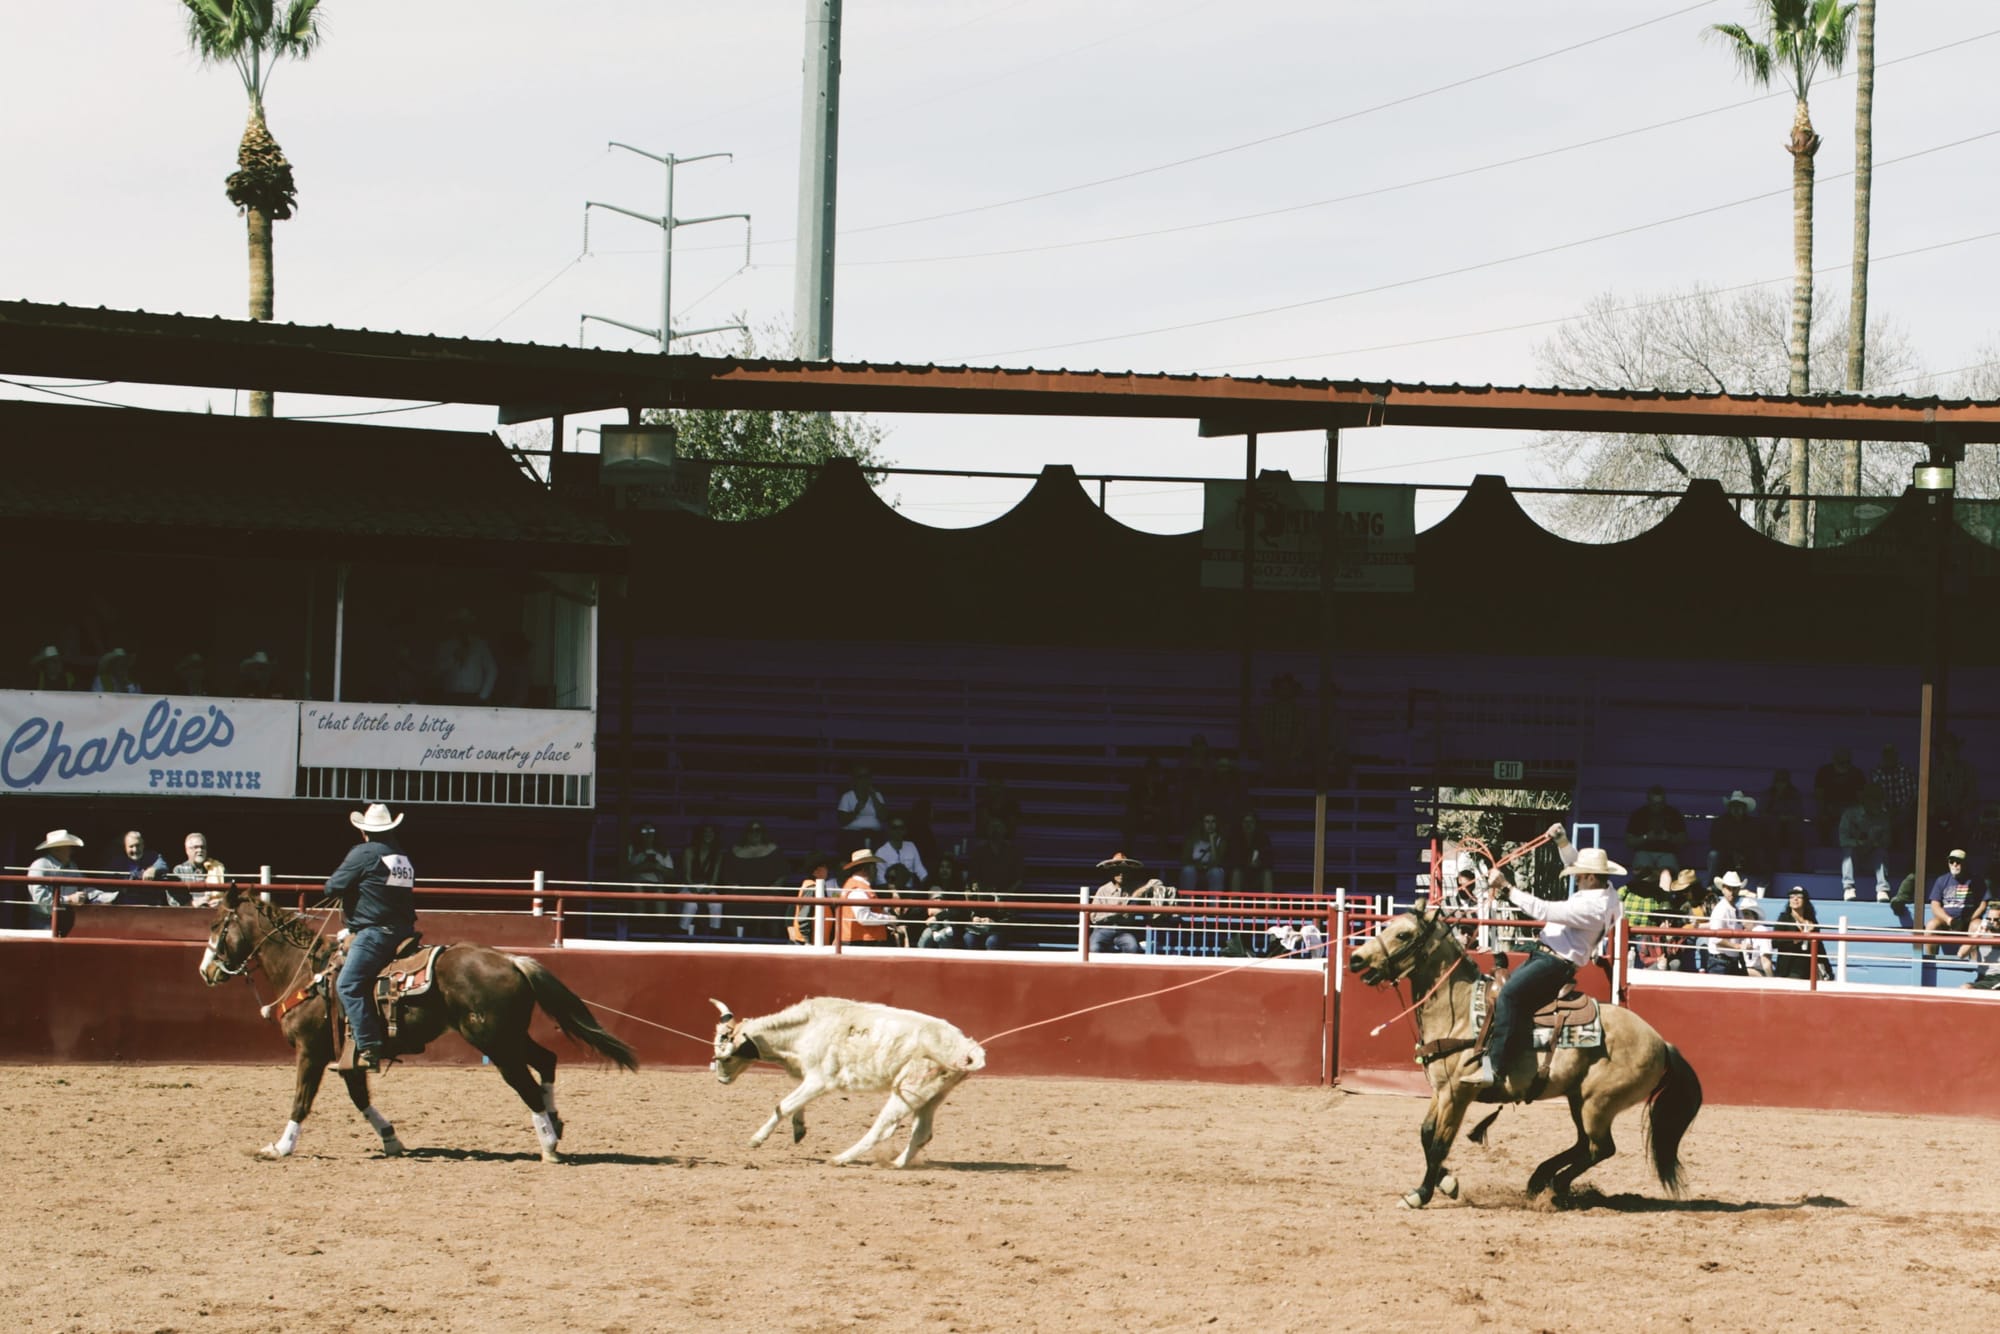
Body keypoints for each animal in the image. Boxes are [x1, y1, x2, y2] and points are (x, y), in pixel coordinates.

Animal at [194, 892, 632, 1160]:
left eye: (217, 925)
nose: (205, 971)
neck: (307, 971)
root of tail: (511, 960)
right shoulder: (348, 1056)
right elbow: (360, 1098)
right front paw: (391, 1139)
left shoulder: (311, 1051)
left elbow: (301, 1100)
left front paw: (280, 1147)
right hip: (509, 1036)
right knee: (547, 1060)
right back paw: (555, 1123)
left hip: (494, 1042)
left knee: (525, 1082)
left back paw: (548, 1142)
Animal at [712, 996, 984, 1160]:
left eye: (727, 1057)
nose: (721, 1080)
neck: (808, 1028)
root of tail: (966, 1047)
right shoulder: (809, 1078)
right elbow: (797, 1104)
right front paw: (799, 1128)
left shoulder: (820, 1080)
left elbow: (784, 1105)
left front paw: (757, 1139)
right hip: (931, 1096)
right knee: (922, 1133)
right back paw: (897, 1164)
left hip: (908, 1090)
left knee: (882, 1130)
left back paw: (842, 1158)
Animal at [1344, 908, 1704, 1208]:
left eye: (1404, 934)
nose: (1356, 959)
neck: (1460, 1011)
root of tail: (1662, 1043)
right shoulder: (1441, 1090)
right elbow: (1425, 1133)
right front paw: (1446, 1182)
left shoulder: (1458, 1093)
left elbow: (1439, 1144)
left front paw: (1420, 1194)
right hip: (1578, 1099)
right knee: (1584, 1145)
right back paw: (1540, 1179)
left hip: (1597, 1103)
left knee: (1599, 1148)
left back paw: (1554, 1186)